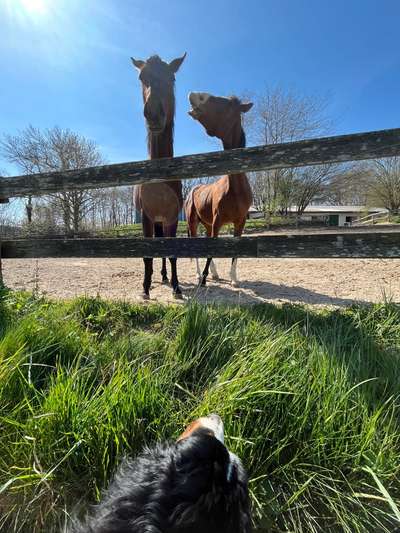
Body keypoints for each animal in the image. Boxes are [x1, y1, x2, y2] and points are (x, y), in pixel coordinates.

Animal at [185, 93, 253, 288]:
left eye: (229, 105)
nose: (195, 95)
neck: (235, 189)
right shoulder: (217, 222)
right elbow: (210, 250)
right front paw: (203, 278)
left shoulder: (240, 223)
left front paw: (233, 279)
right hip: (193, 222)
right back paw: (199, 274)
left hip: (207, 224)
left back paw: (214, 274)